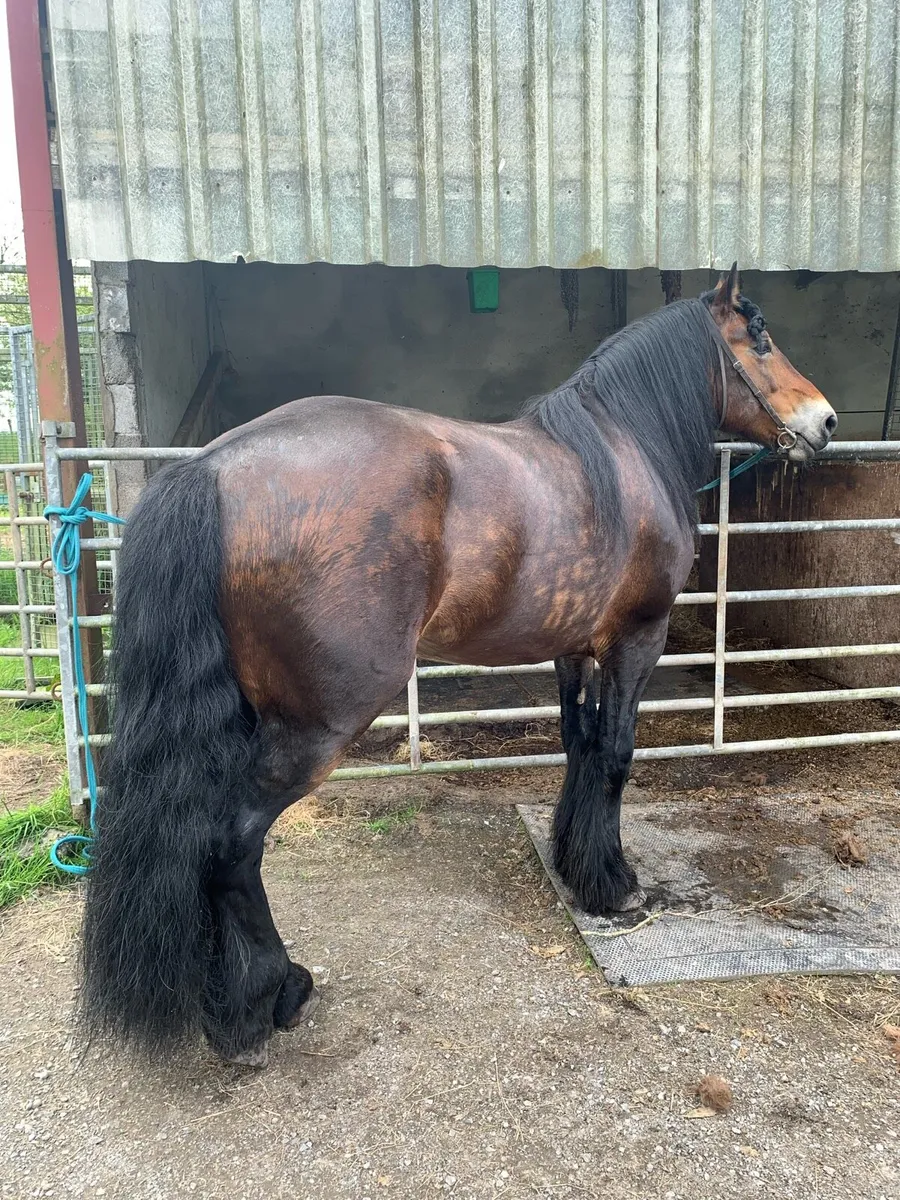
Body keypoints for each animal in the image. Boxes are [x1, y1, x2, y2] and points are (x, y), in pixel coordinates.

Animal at [79, 265, 836, 1067]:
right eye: (758, 336)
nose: (825, 423)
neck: (620, 451)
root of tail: (215, 468)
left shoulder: (574, 648)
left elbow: (579, 745)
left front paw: (573, 864)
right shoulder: (637, 639)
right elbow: (617, 755)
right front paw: (614, 885)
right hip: (317, 725)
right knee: (232, 843)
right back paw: (263, 1003)